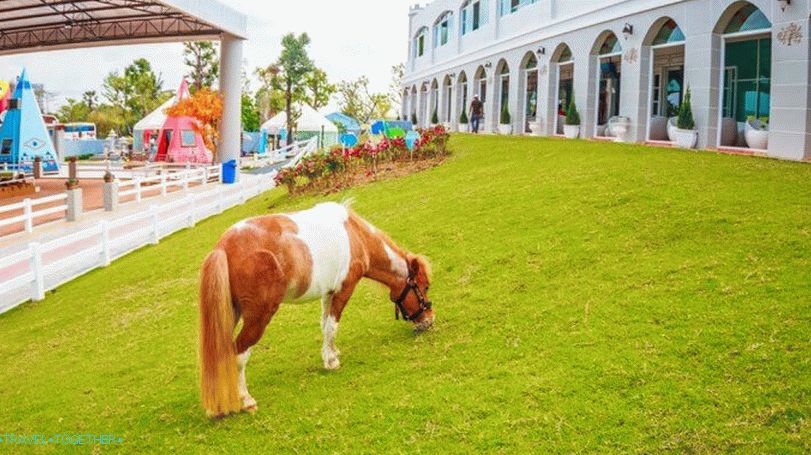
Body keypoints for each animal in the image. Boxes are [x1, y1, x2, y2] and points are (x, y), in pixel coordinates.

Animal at [198, 202, 435, 419]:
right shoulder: (343, 289)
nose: (429, 321)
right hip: (258, 317)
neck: (355, 235)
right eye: (424, 287)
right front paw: (331, 361)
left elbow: (325, 325)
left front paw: (331, 352)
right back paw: (245, 400)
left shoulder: (328, 293)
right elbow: (332, 325)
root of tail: (223, 247)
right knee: (238, 354)